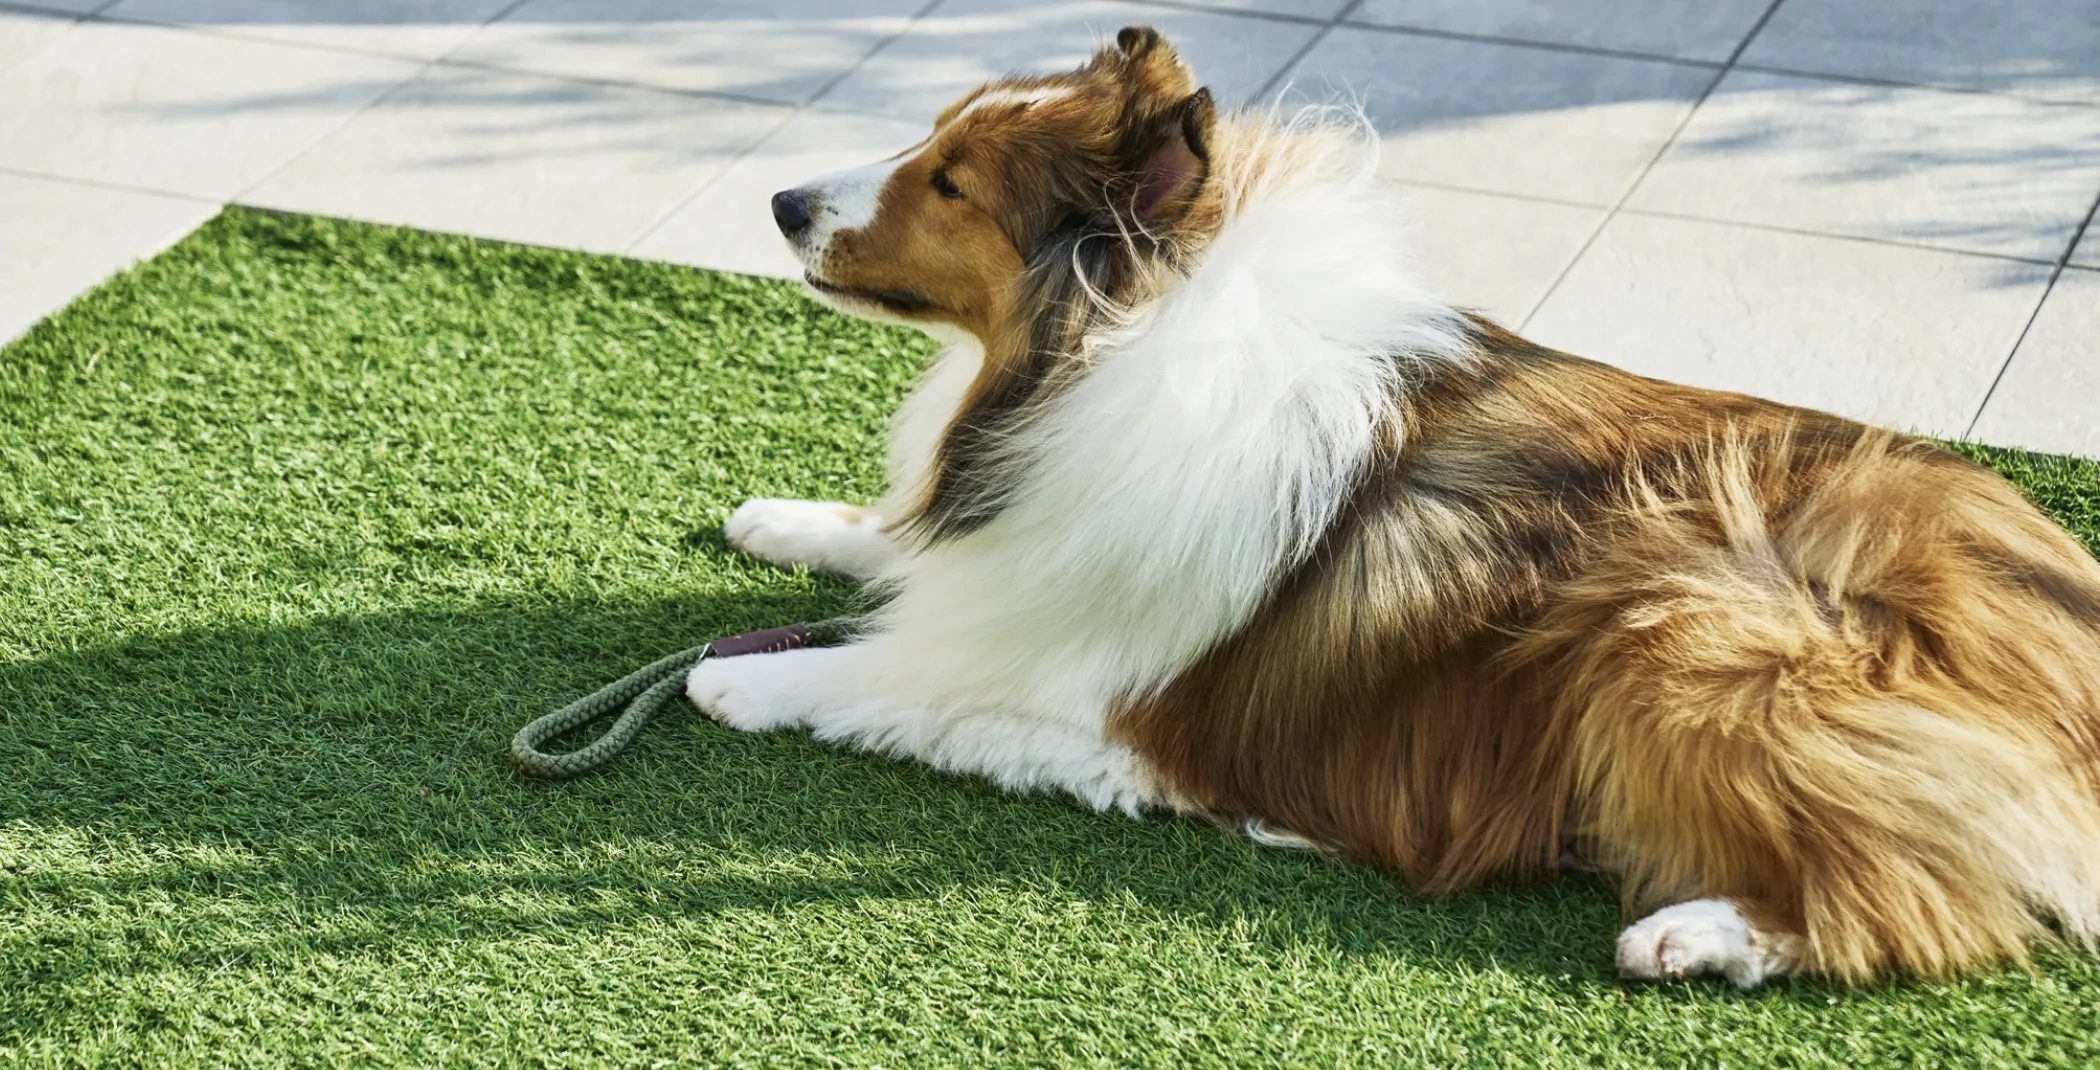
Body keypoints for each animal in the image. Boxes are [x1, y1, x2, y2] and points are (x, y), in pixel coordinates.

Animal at [688, 29, 2100, 986]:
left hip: (1695, 624)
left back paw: (1691, 932)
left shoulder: (1107, 710)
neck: (1105, 349)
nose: (781, 201)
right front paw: (786, 521)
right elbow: (900, 552)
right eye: (931, 141)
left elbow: (893, 679)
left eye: (952, 184)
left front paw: (741, 678)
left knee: (1917, 898)